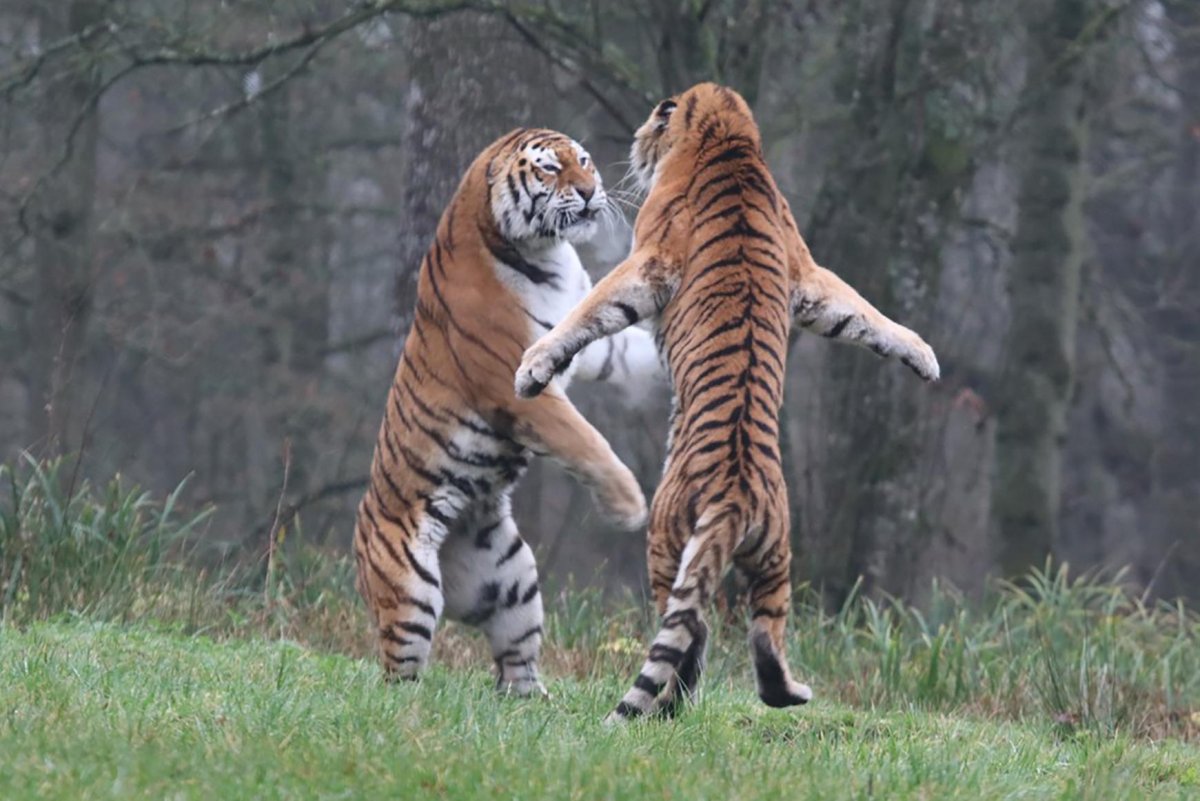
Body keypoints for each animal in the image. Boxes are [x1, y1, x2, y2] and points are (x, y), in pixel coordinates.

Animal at [354, 127, 661, 697]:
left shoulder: (586, 344)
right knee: (397, 669)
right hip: (409, 591)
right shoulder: (515, 385)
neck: (546, 254)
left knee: (513, 661)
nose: (590, 191)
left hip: (512, 577)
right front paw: (629, 507)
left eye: (584, 160)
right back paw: (409, 703)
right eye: (550, 169)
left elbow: (637, 354)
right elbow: (587, 441)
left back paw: (535, 700)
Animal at [514, 83, 939, 720]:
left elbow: (586, 313)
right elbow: (861, 312)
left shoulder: (648, 259)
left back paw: (671, 705)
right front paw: (925, 357)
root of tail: (737, 495)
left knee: (688, 631)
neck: (727, 135)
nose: (634, 144)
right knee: (763, 635)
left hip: (666, 541)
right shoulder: (807, 275)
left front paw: (532, 369)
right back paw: (789, 694)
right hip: (776, 558)